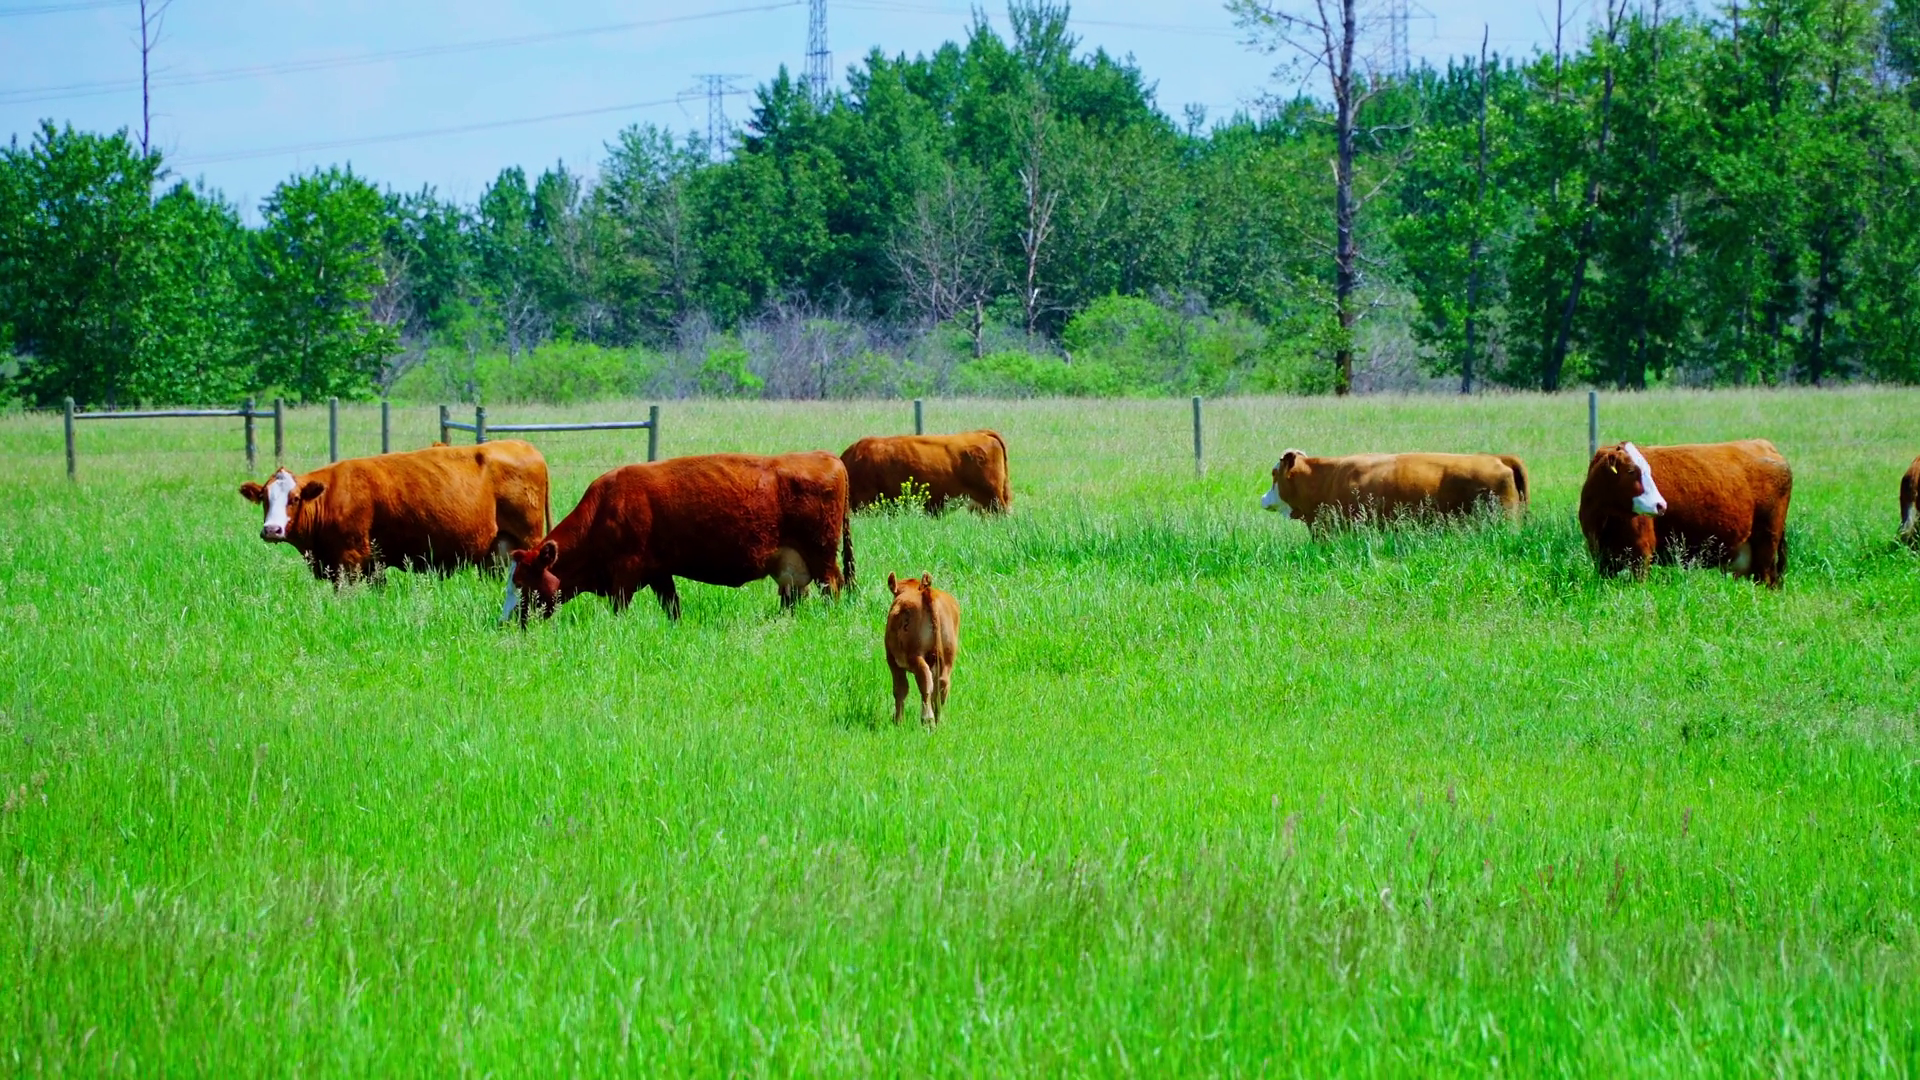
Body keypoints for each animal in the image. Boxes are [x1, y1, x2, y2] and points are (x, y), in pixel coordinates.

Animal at [238, 440, 549, 584]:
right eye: (264, 498)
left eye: (294, 498)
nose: (272, 530)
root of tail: (523, 445)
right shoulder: (371, 565)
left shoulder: (349, 561)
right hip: (496, 554)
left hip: (528, 540)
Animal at [507, 451, 853, 624]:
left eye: (522, 583)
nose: (508, 620)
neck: (606, 506)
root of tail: (828, 457)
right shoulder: (659, 574)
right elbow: (672, 608)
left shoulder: (625, 574)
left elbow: (620, 610)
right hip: (793, 567)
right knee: (794, 596)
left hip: (821, 557)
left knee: (832, 586)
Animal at [884, 572, 960, 727]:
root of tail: (927, 592)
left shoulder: (892, 661)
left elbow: (900, 689)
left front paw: (898, 721)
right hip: (947, 657)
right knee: (942, 684)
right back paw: (938, 721)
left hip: (915, 656)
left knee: (925, 682)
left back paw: (927, 719)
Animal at [1578, 440, 1792, 586]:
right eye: (1631, 470)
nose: (1661, 505)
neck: (1604, 519)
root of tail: (1765, 445)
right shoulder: (1602, 557)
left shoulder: (1642, 553)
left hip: (1767, 542)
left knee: (1768, 580)